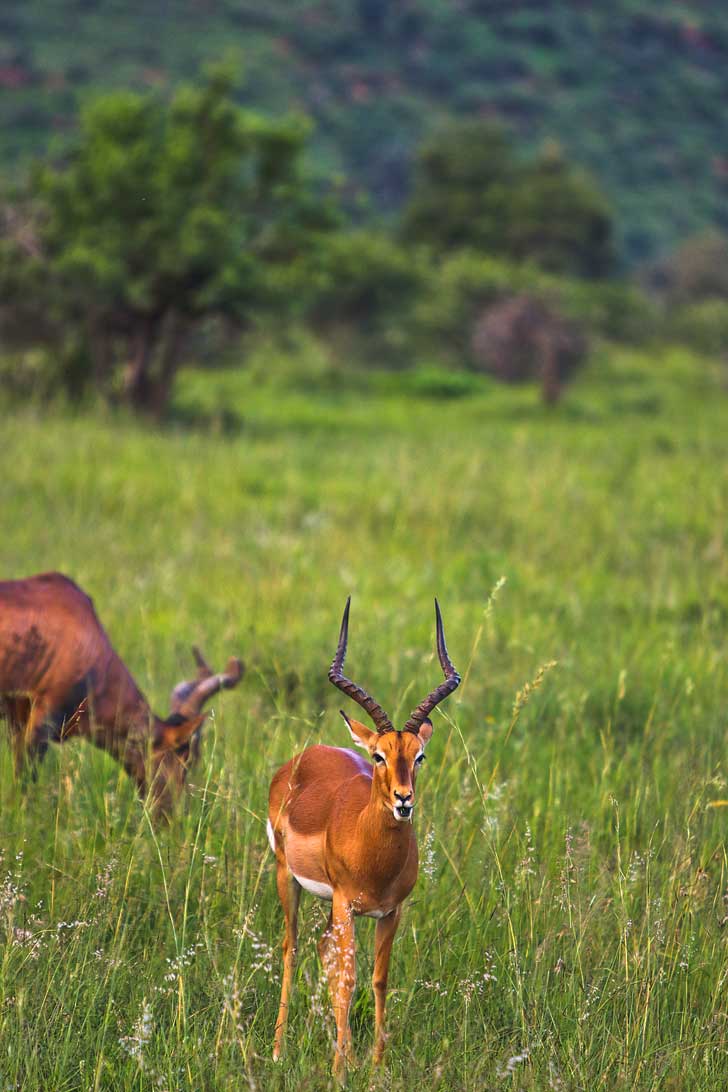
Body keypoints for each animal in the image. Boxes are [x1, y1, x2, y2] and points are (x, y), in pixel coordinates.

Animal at [267, 602, 460, 1078]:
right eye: (378, 755)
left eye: (419, 756)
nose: (404, 800)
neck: (373, 854)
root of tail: (305, 756)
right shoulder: (347, 905)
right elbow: (348, 978)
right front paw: (341, 1068)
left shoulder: (390, 911)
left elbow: (378, 978)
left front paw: (374, 1064)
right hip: (288, 879)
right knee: (292, 948)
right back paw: (279, 1050)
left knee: (323, 950)